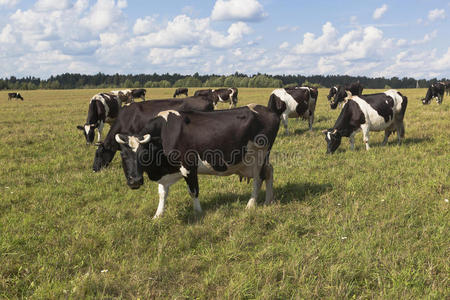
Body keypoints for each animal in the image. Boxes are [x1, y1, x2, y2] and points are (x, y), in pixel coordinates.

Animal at [114, 104, 280, 219]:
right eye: (123, 155)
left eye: (144, 154)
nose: (135, 181)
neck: (165, 133)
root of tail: (269, 110)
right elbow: (162, 193)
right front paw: (158, 215)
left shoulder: (189, 167)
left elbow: (193, 191)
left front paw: (198, 212)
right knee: (269, 171)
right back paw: (268, 201)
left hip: (259, 156)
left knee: (258, 178)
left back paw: (251, 205)